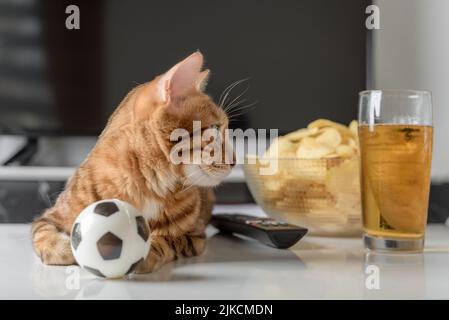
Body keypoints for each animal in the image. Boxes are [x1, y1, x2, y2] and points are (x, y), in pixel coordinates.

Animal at [31, 52, 234, 272]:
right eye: (215, 130)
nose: (234, 161)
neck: (150, 185)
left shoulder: (195, 237)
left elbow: (168, 239)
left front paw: (147, 251)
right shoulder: (51, 215)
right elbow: (42, 232)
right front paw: (66, 246)